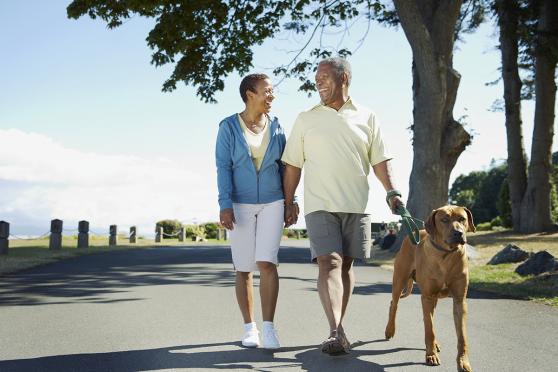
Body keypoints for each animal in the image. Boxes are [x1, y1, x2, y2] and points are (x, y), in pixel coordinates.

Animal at [388, 205, 480, 372]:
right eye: (444, 220)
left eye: (462, 219)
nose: (458, 233)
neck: (446, 255)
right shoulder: (427, 297)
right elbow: (429, 329)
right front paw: (430, 355)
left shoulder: (460, 300)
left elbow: (462, 336)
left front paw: (463, 361)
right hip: (399, 280)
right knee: (394, 304)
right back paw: (389, 330)